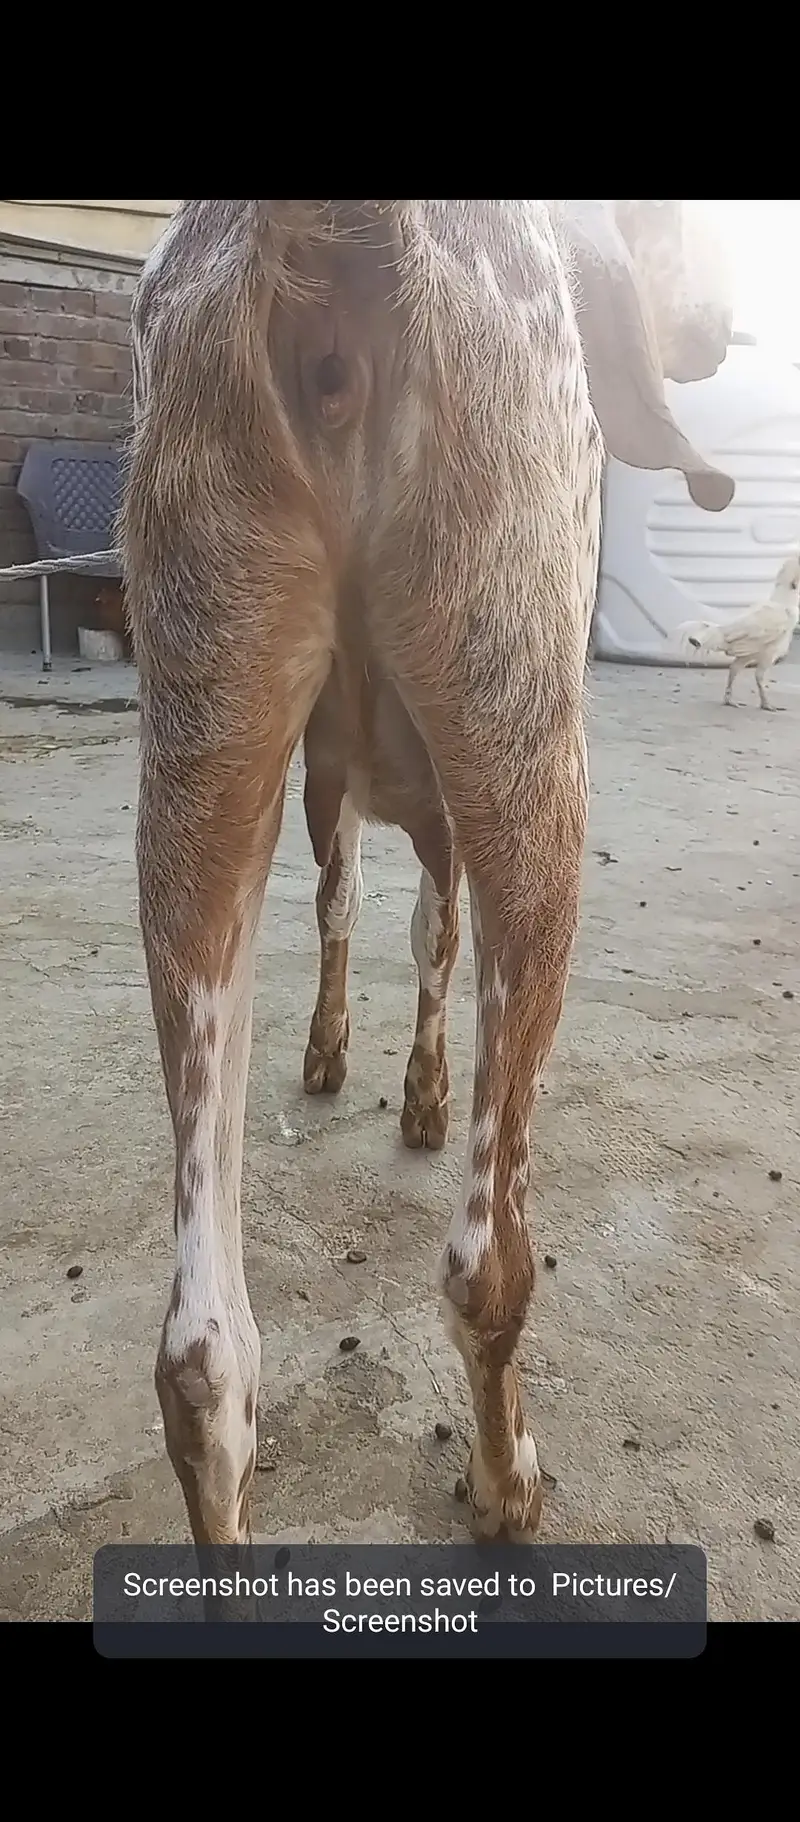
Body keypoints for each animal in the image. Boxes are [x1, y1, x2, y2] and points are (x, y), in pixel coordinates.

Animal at [120, 199, 733, 1548]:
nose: (720, 334)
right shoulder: (460, 802)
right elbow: (433, 939)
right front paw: (419, 1096)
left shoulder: (340, 784)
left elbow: (373, 916)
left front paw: (360, 1066)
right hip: (525, 730)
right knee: (485, 1260)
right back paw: (506, 1481)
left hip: (201, 718)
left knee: (203, 1354)